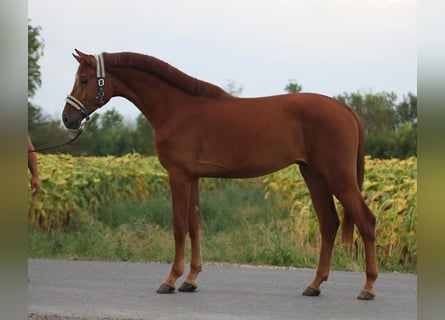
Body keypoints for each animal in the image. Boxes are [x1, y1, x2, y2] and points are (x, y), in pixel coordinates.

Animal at [60, 50, 376, 300]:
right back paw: (315, 284)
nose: (67, 118)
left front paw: (170, 280)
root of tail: (345, 109)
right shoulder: (192, 177)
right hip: (313, 175)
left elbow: (179, 226)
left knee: (366, 221)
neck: (177, 108)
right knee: (329, 223)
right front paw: (190, 280)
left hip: (339, 178)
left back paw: (368, 287)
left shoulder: (178, 175)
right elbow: (195, 224)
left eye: (85, 79)